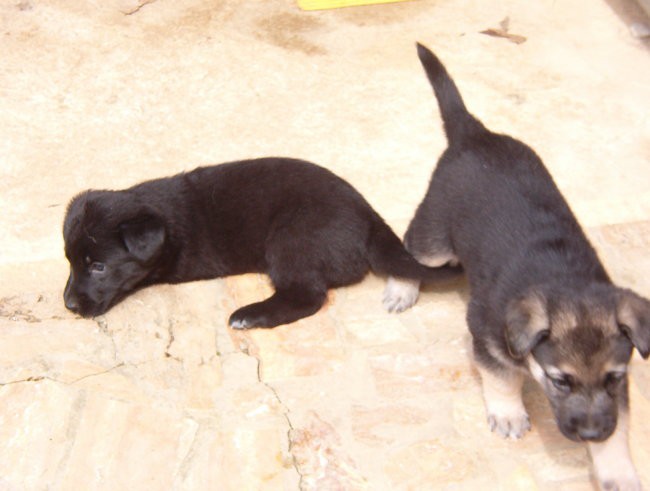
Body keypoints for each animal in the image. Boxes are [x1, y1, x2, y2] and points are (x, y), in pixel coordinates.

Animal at [60, 158, 456, 328]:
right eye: (71, 262)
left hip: (291, 241)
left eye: (99, 266)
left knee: (307, 297)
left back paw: (249, 315)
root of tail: (369, 216)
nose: (68, 305)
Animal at [384, 44, 648, 490]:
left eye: (612, 378)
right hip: (435, 238)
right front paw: (509, 414)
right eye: (561, 381)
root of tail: (475, 133)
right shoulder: (488, 339)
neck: (566, 281)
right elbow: (503, 378)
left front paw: (618, 471)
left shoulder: (620, 389)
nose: (592, 433)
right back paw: (402, 287)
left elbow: (622, 426)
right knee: (408, 247)